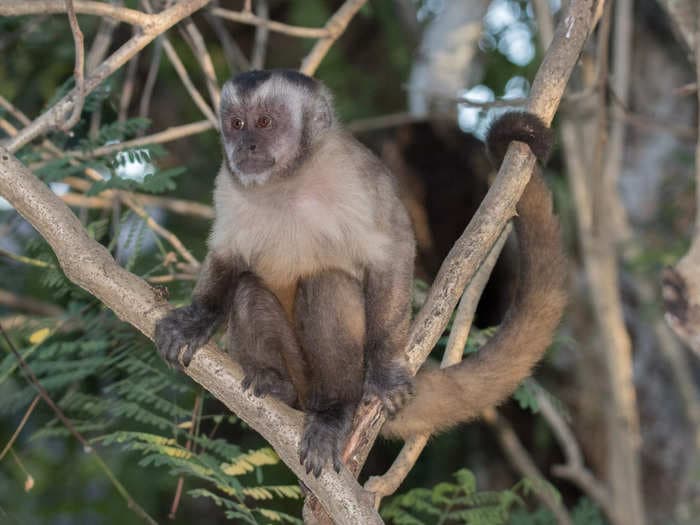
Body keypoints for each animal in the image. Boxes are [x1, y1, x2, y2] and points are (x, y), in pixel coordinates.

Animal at [154, 70, 568, 478]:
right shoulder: (228, 184)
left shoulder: (358, 174)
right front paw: (196, 319)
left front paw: (384, 369)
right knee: (247, 291)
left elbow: (392, 252)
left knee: (328, 286)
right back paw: (277, 385)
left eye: (265, 122)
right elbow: (228, 258)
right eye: (237, 124)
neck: (288, 182)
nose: (246, 146)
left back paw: (335, 410)